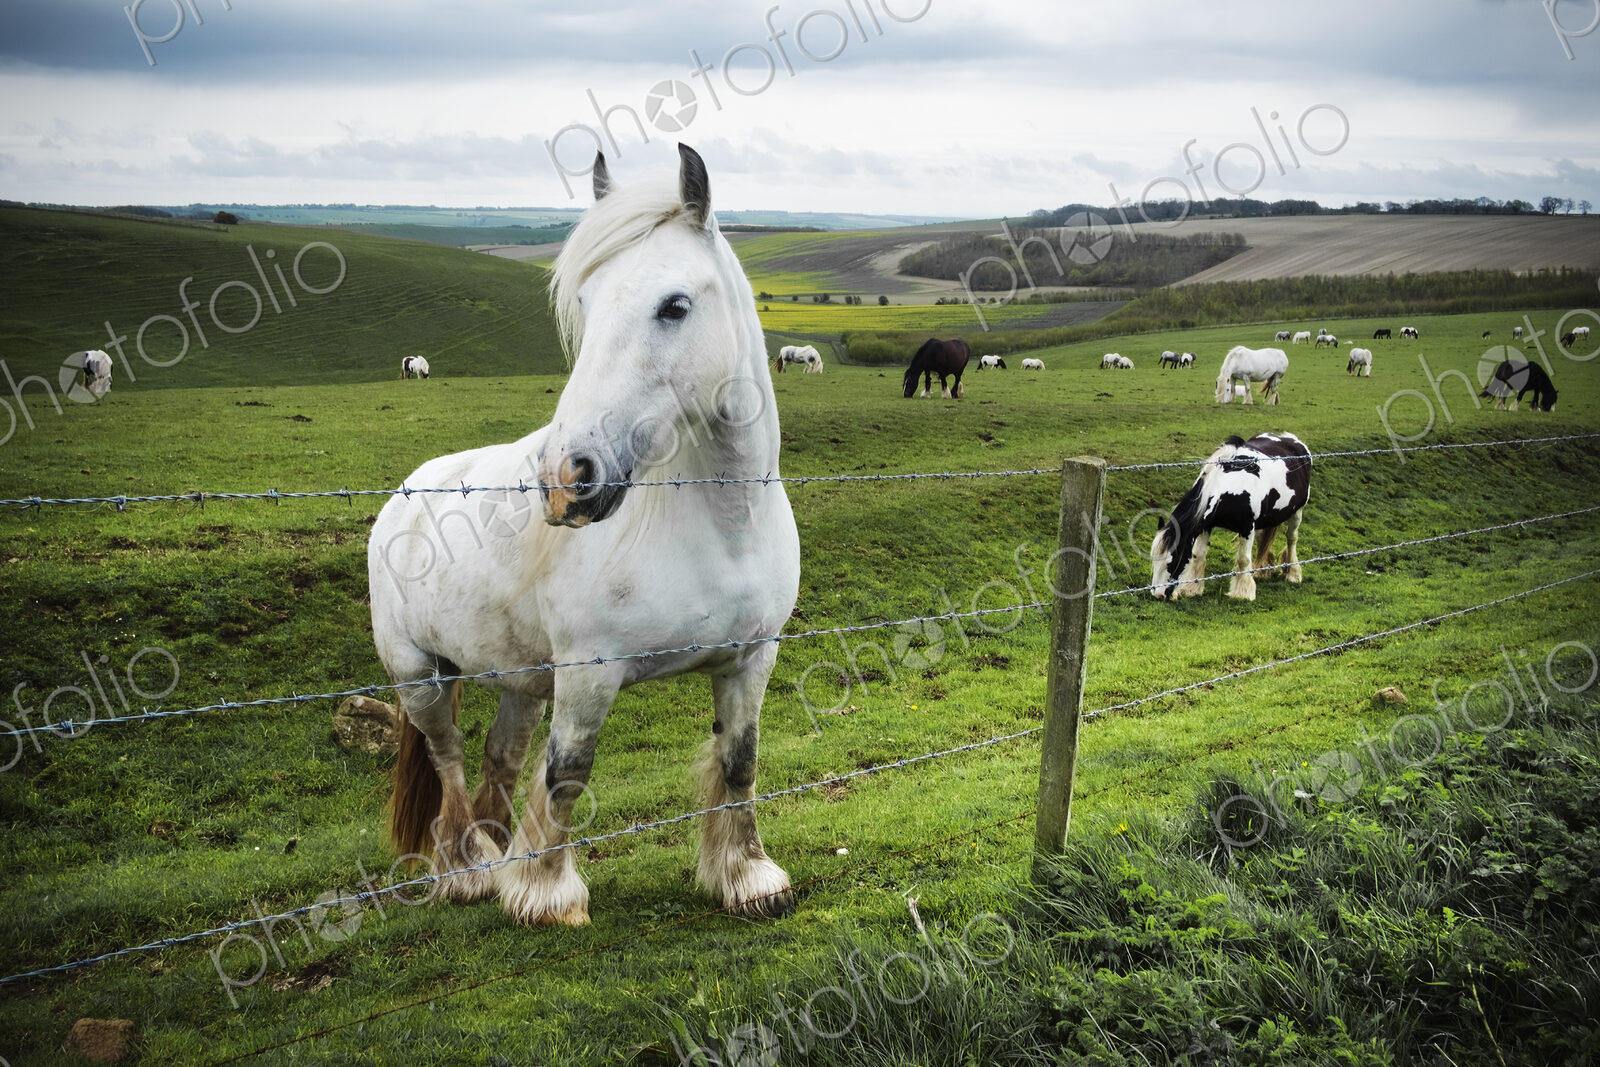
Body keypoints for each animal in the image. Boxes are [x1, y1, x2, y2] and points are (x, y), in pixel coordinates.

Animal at [367, 144, 801, 927]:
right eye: (586, 306)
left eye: (674, 305)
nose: (566, 476)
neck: (721, 526)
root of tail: (405, 495)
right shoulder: (588, 672)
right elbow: (568, 771)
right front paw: (544, 892)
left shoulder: (752, 657)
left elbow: (740, 761)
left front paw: (747, 875)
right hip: (419, 677)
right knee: (449, 758)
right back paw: (467, 869)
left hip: (518, 680)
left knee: (499, 756)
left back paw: (492, 851)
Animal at [1149, 432, 1311, 602]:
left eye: (1172, 561)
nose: (1158, 595)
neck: (1230, 488)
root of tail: (1292, 439)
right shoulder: (1206, 525)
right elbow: (1198, 555)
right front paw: (1191, 589)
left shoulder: (1247, 527)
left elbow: (1243, 559)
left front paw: (1243, 593)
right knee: (1263, 540)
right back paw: (1262, 570)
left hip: (1297, 512)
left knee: (1291, 539)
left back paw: (1292, 573)